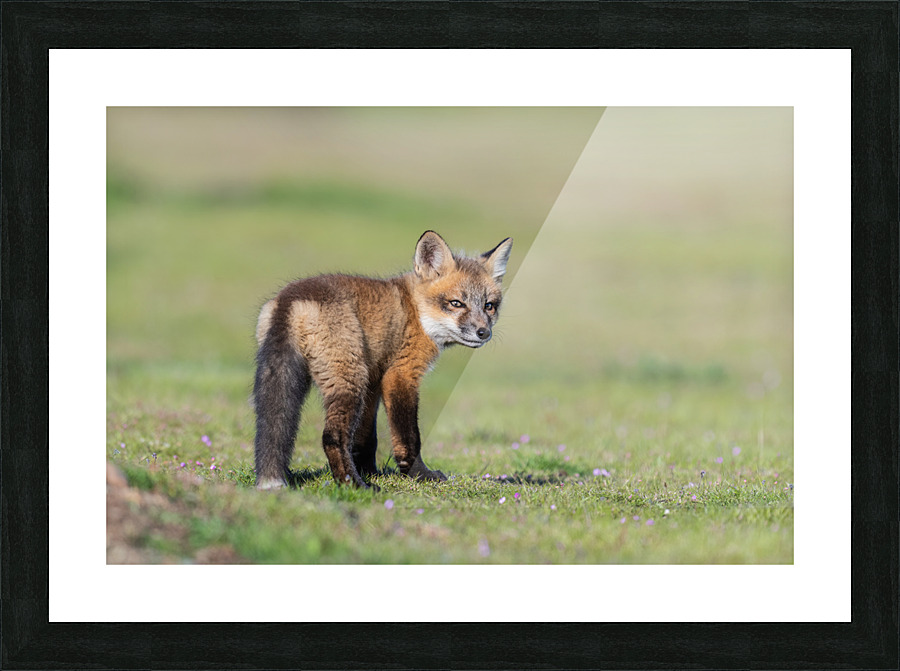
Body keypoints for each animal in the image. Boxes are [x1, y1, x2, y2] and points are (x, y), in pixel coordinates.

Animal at [253, 230, 513, 490]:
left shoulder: (374, 380)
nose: (483, 333)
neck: (416, 313)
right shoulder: (401, 374)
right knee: (332, 437)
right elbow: (408, 436)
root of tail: (292, 298)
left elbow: (366, 438)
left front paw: (370, 471)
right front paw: (419, 474)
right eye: (456, 303)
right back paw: (353, 484)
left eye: (489, 306)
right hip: (349, 382)